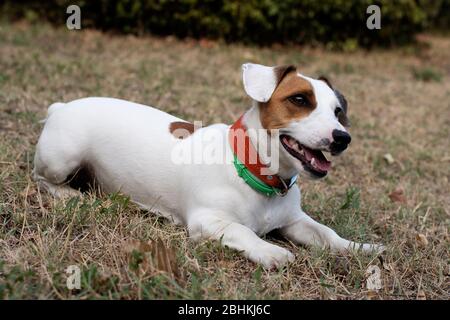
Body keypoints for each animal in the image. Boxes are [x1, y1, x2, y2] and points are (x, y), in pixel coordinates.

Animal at [33, 62, 384, 268]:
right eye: (299, 99)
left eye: (338, 111)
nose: (342, 138)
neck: (255, 172)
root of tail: (61, 106)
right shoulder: (208, 221)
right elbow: (243, 231)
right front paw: (270, 251)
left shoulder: (295, 221)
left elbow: (327, 234)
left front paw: (359, 247)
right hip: (61, 157)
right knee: (42, 179)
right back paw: (68, 194)